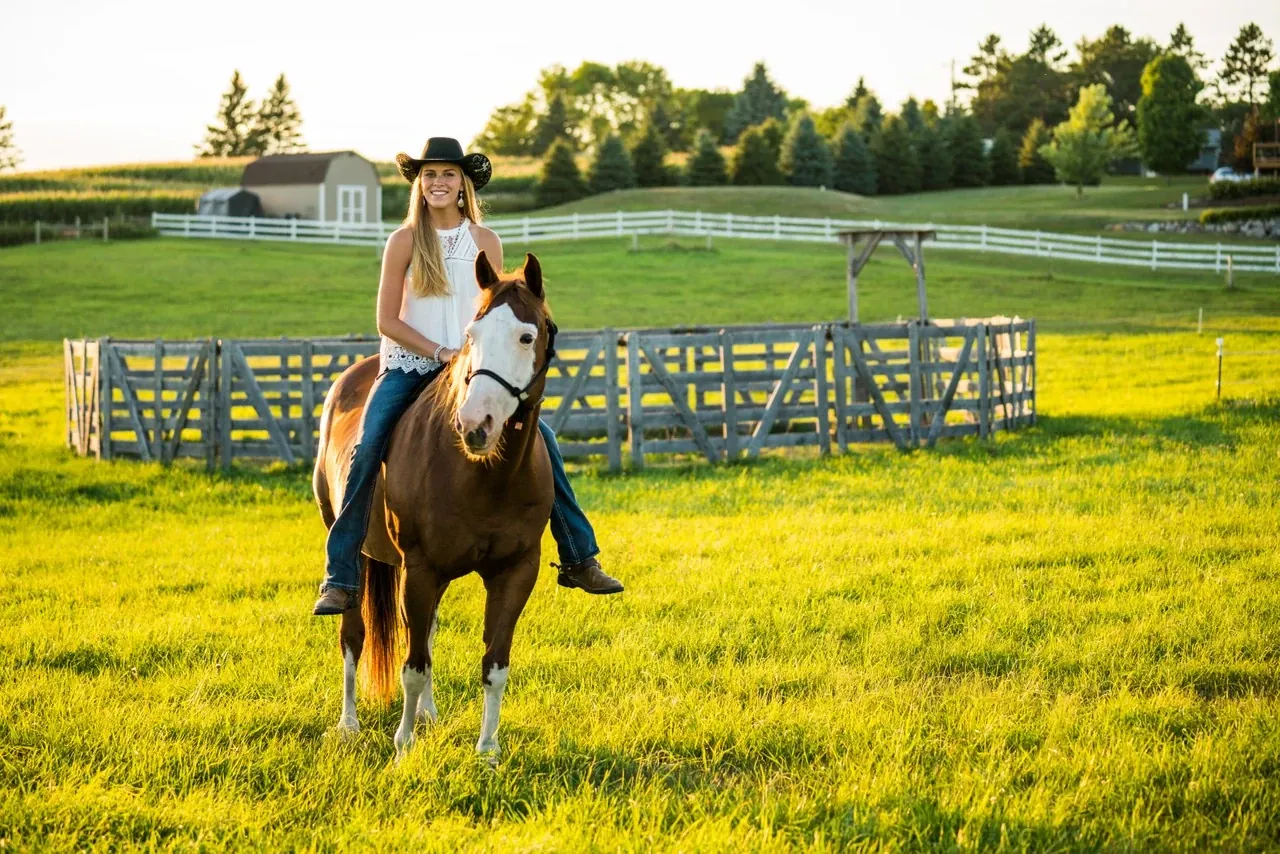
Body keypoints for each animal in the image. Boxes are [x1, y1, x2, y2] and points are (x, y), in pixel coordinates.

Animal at [312, 250, 556, 758]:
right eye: (471, 336)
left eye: (527, 336)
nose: (476, 423)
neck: (484, 476)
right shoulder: (419, 569)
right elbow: (413, 664)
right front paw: (403, 745)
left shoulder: (515, 572)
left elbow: (494, 664)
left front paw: (488, 751)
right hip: (354, 555)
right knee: (353, 636)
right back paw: (349, 724)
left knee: (425, 632)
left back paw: (427, 713)